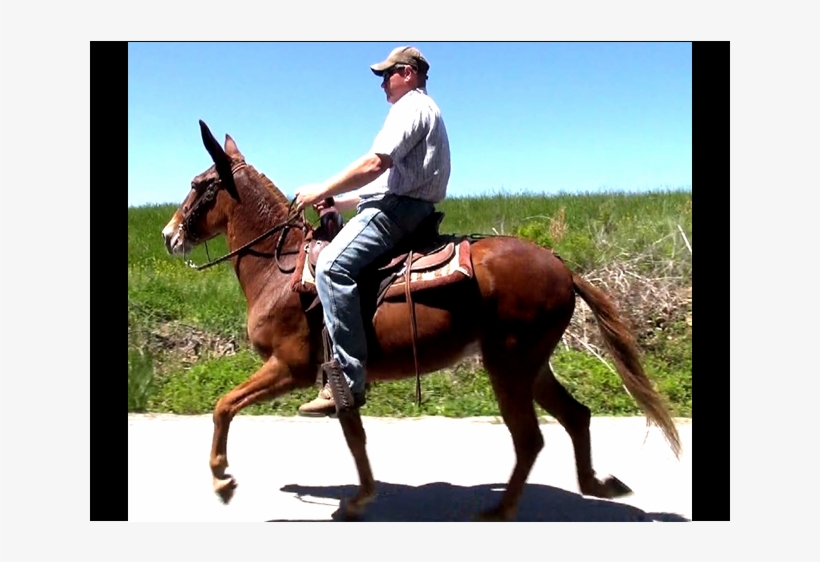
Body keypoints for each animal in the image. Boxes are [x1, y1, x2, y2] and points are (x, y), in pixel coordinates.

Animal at [160, 120, 682, 521]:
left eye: (197, 184)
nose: (168, 235)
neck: (280, 268)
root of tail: (562, 267)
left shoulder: (290, 367)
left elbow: (224, 406)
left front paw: (222, 478)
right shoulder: (339, 376)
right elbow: (355, 438)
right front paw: (359, 499)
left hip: (509, 364)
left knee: (530, 438)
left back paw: (501, 510)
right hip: (531, 364)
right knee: (575, 417)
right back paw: (598, 485)